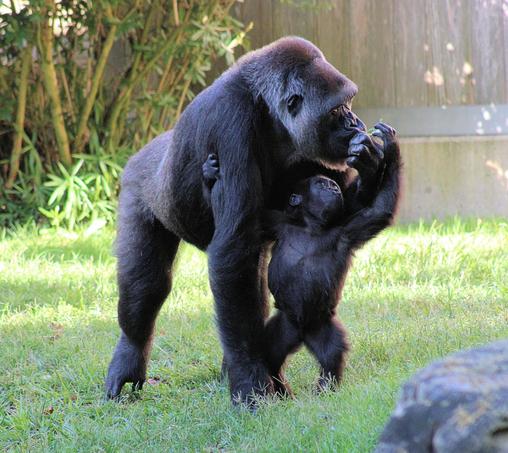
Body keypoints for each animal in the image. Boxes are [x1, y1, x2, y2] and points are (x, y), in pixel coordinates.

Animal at [202, 122, 400, 394]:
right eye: (321, 185)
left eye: (331, 185)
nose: (333, 187)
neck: (311, 227)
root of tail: (302, 334)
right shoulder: (276, 222)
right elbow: (247, 217)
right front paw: (210, 173)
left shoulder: (347, 232)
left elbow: (379, 211)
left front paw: (391, 148)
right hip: (283, 326)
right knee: (271, 353)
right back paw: (280, 386)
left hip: (321, 326)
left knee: (331, 352)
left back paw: (324, 388)